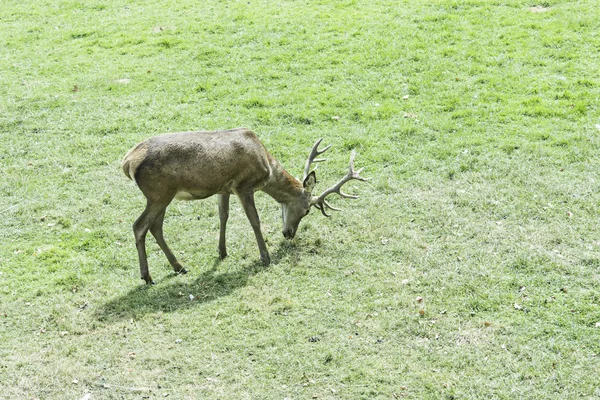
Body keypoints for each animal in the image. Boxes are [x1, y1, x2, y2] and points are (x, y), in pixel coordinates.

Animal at [122, 128, 368, 284]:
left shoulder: (223, 189)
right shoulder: (244, 185)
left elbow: (223, 215)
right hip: (159, 194)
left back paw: (179, 266)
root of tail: (127, 161)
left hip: (163, 196)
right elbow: (254, 220)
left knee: (156, 227)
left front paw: (222, 252)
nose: (289, 234)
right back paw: (147, 276)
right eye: (307, 211)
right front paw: (265, 257)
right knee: (139, 226)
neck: (267, 168)